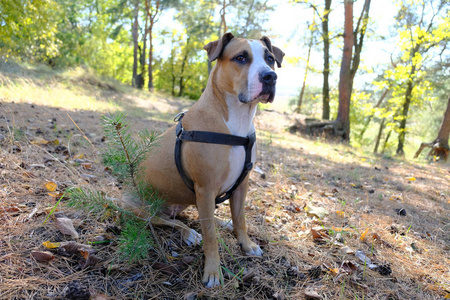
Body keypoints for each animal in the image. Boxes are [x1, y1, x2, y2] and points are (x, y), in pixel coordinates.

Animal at [126, 32, 284, 288]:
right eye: (241, 58)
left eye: (270, 58)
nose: (270, 76)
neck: (236, 119)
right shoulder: (206, 188)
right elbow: (210, 236)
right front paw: (212, 271)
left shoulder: (241, 185)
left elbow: (240, 219)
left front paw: (247, 244)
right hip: (139, 208)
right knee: (174, 223)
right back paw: (189, 234)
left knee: (191, 218)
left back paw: (221, 223)